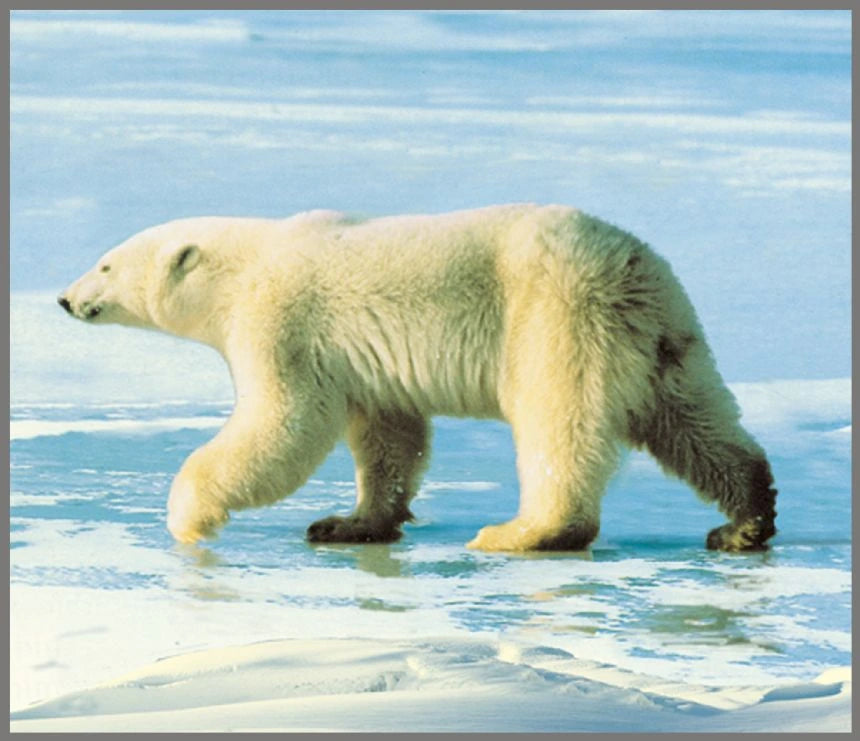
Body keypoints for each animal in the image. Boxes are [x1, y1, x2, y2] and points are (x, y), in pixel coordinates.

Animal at [58, 204, 777, 552]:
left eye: (105, 264)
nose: (64, 298)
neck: (244, 263)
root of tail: (629, 268)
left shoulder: (280, 319)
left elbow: (281, 425)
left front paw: (188, 516)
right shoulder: (362, 363)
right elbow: (388, 435)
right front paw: (348, 522)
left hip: (556, 318)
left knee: (558, 424)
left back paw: (519, 533)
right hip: (665, 339)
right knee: (696, 422)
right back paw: (744, 520)